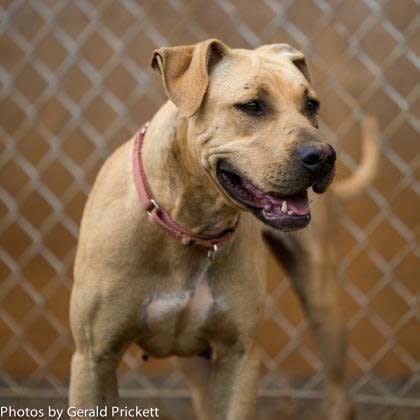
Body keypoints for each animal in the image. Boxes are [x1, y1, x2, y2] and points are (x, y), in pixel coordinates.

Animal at [69, 37, 378, 418]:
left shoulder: (239, 357)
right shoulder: (93, 359)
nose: (323, 157)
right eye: (251, 105)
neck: (188, 225)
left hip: (323, 304)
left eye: (311, 105)